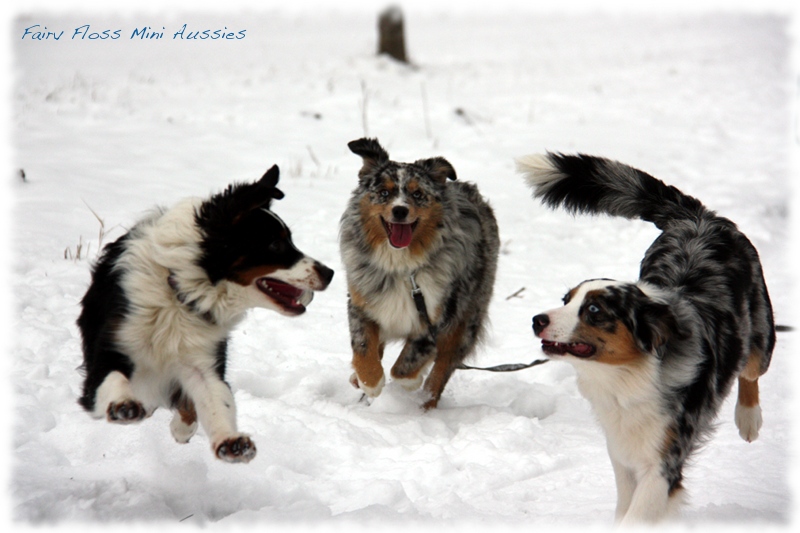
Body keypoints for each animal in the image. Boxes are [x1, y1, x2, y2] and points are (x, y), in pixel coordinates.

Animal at [76, 165, 332, 462]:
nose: (330, 273)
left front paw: (229, 441)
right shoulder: (111, 348)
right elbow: (112, 379)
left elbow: (216, 401)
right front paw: (123, 405)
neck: (181, 293)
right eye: (275, 245)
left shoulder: (202, 360)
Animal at [520, 152, 776, 520]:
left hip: (761, 327)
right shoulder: (623, 454)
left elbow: (637, 517)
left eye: (594, 310)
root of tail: (700, 218)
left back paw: (748, 419)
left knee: (752, 369)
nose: (536, 320)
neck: (625, 379)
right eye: (566, 300)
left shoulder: (663, 462)